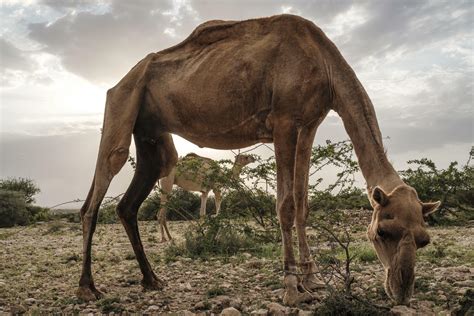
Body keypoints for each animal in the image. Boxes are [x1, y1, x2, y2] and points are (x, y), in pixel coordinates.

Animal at [77, 15, 440, 306]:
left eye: (424, 240)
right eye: (382, 231)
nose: (401, 292)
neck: (325, 65)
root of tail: (121, 79)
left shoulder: (309, 124)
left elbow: (303, 203)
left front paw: (312, 280)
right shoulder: (283, 121)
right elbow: (286, 205)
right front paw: (292, 287)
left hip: (152, 134)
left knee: (131, 200)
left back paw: (152, 280)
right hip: (122, 103)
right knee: (97, 192)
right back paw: (88, 287)